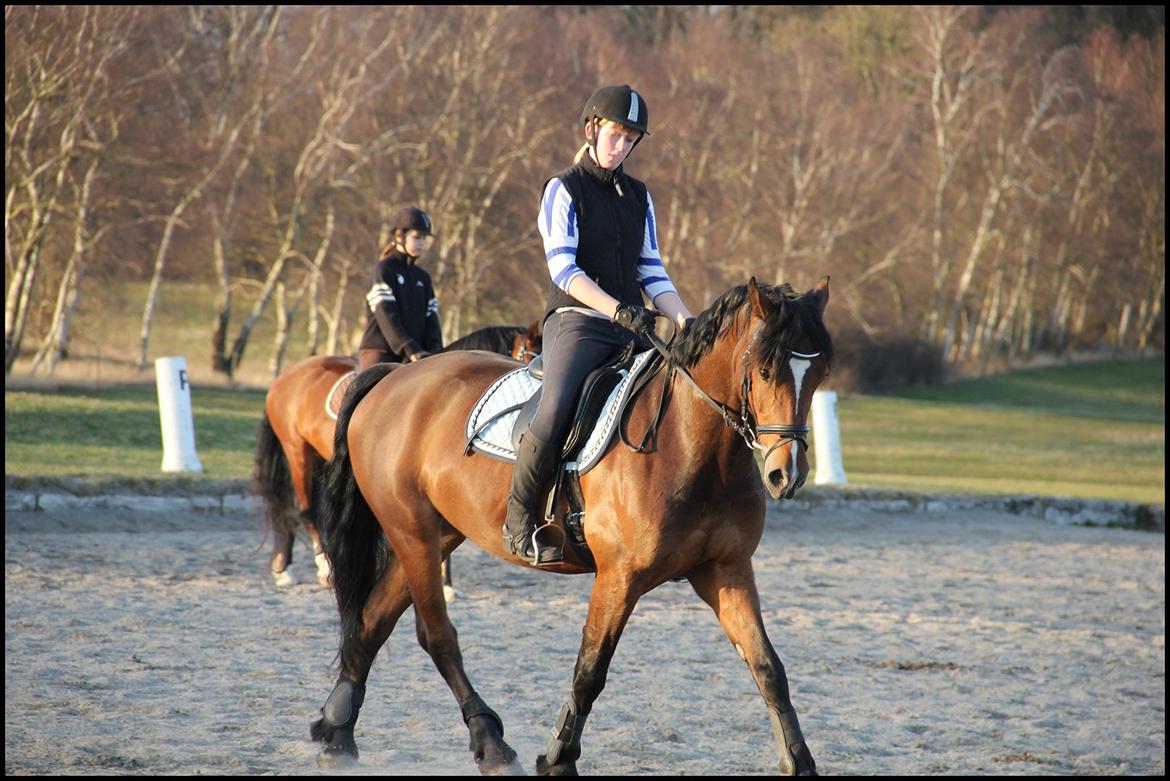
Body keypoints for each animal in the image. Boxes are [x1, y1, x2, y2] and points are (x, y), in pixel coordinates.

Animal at [252, 320, 542, 589]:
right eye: (532, 354)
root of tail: (288, 375)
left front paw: (446, 583)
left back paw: (286, 568)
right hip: (298, 452)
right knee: (305, 509)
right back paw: (319, 568)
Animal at [311, 279, 833, 776]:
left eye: (818, 375)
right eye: (765, 371)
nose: (786, 474)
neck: (691, 446)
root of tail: (394, 376)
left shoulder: (726, 571)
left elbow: (768, 667)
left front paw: (799, 759)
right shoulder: (620, 577)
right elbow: (591, 669)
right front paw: (559, 757)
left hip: (433, 535)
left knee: (374, 620)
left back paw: (337, 733)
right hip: (412, 532)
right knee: (436, 636)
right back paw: (490, 744)